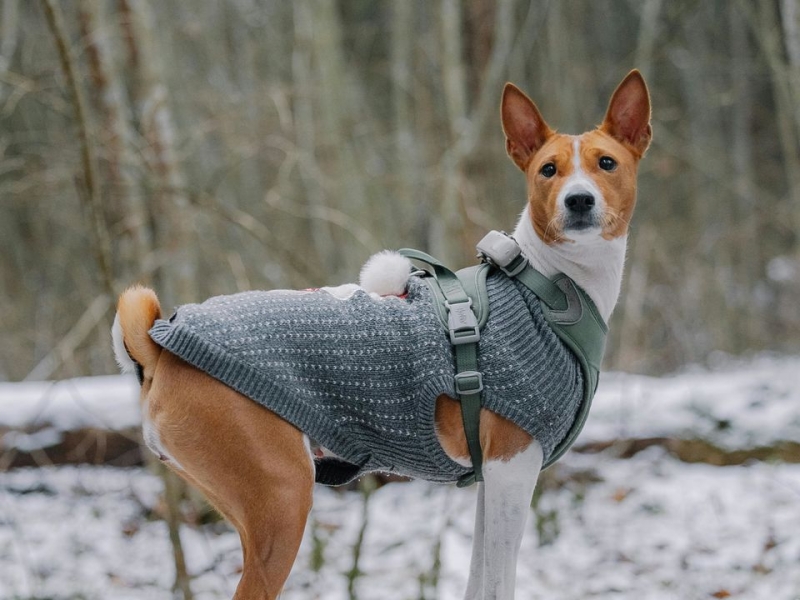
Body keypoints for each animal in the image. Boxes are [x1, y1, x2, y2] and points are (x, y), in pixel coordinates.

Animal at [112, 71, 648, 600]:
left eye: (606, 163)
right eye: (548, 171)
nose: (579, 200)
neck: (547, 287)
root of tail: (160, 346)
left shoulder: (494, 483)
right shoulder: (511, 469)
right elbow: (498, 585)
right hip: (282, 503)